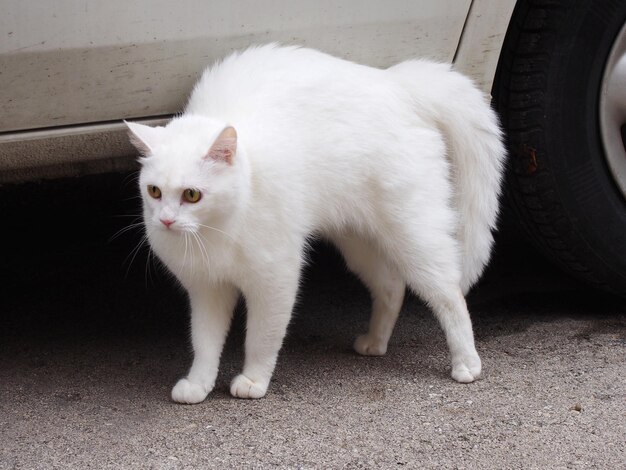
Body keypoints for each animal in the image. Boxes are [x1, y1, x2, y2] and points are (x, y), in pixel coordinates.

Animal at [125, 45, 502, 404]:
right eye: (154, 191)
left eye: (192, 194)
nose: (166, 220)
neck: (216, 229)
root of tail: (396, 82)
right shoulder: (206, 290)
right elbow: (204, 343)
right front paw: (199, 384)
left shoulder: (275, 280)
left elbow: (261, 338)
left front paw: (253, 381)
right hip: (358, 242)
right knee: (391, 287)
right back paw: (375, 343)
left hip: (413, 233)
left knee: (449, 295)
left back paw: (467, 363)